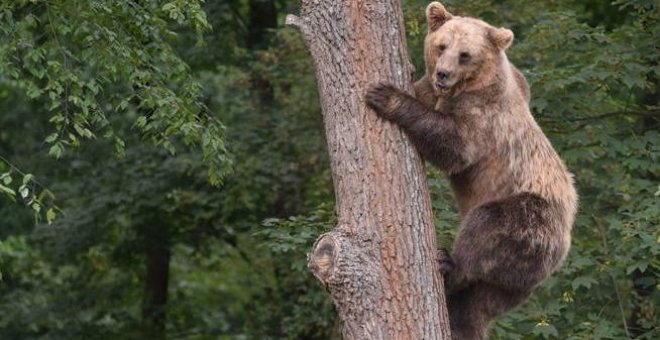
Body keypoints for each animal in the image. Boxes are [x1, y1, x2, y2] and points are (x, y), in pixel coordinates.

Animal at [366, 2, 576, 340]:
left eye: (465, 54)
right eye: (442, 46)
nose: (443, 73)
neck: (465, 87)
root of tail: (564, 245)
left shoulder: (483, 116)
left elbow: (454, 147)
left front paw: (385, 94)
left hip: (533, 220)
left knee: (486, 228)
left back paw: (448, 265)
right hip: (511, 285)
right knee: (476, 304)